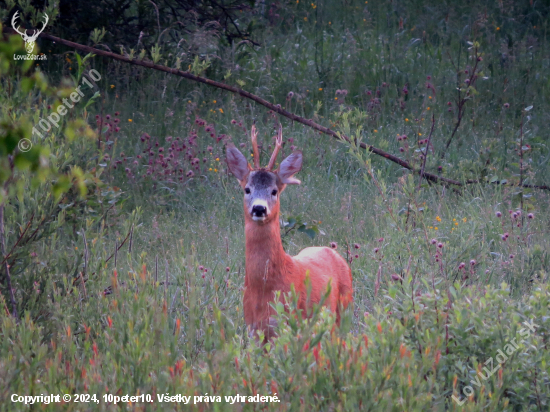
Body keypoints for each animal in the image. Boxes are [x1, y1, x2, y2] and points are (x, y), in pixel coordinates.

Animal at [227, 125, 354, 342]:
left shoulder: (287, 324)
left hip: (344, 311)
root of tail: (332, 251)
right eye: (247, 189)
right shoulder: (253, 329)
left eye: (274, 191)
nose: (259, 209)